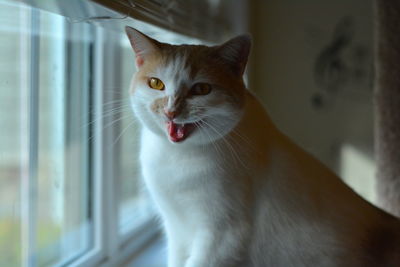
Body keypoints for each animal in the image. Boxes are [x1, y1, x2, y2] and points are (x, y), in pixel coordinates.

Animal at [124, 25, 400, 267]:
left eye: (201, 89)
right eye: (156, 84)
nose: (171, 111)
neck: (177, 157)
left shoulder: (223, 235)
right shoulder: (177, 231)